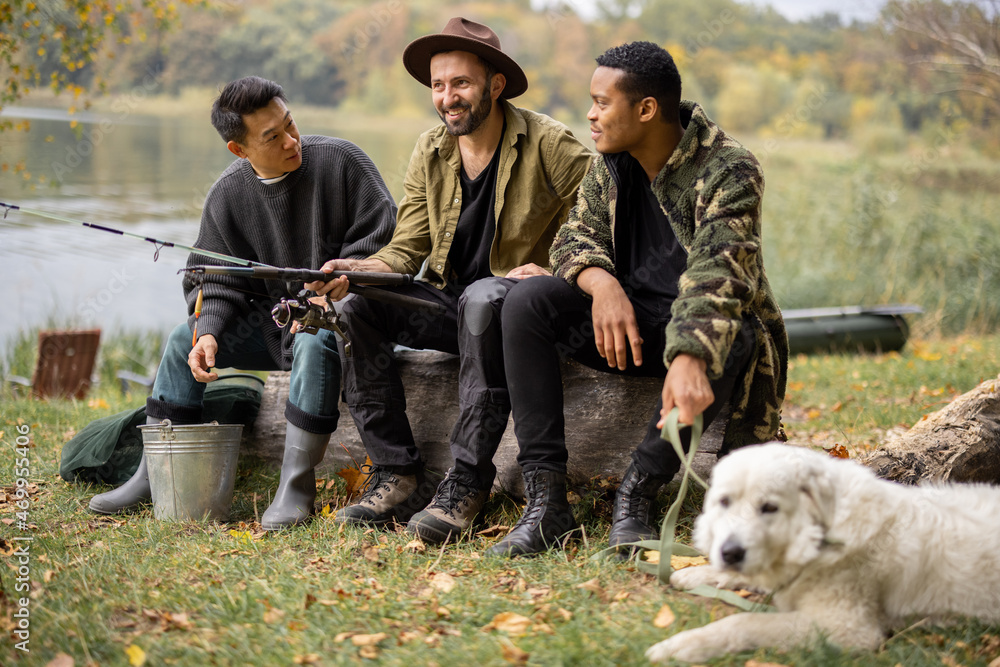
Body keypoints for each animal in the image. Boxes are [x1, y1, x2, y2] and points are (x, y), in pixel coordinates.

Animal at [644, 440, 1000, 664]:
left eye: (770, 507)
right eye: (724, 501)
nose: (730, 553)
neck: (823, 533)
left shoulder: (846, 627)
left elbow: (744, 623)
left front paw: (681, 646)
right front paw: (696, 573)